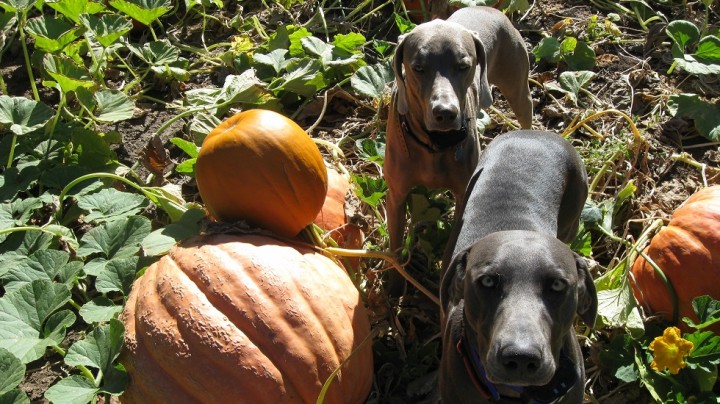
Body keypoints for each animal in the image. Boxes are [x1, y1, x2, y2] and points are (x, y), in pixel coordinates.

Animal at [386, 7, 532, 262]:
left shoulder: (463, 197)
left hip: (516, 85)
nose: (445, 113)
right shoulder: (396, 195)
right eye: (418, 68)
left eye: (463, 66)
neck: (434, 144)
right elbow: (395, 248)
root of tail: (490, 8)